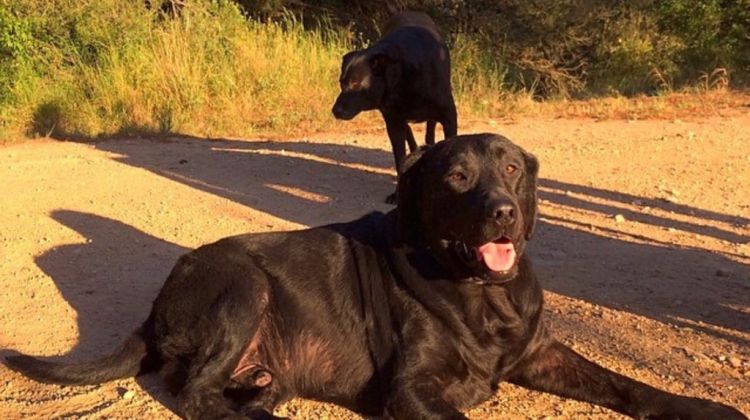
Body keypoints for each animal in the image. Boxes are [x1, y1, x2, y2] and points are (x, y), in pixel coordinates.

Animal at [4, 135, 748, 420]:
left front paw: (703, 407)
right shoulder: (411, 390)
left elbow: (627, 384)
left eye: (511, 169)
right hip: (243, 283)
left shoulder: (542, 353)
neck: (482, 294)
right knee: (187, 389)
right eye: (457, 177)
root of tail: (160, 298)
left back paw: (259, 398)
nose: (503, 213)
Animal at [334, 10, 458, 176]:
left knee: (430, 128)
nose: (335, 111)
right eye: (341, 82)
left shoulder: (449, 115)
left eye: (355, 83)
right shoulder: (393, 122)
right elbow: (400, 155)